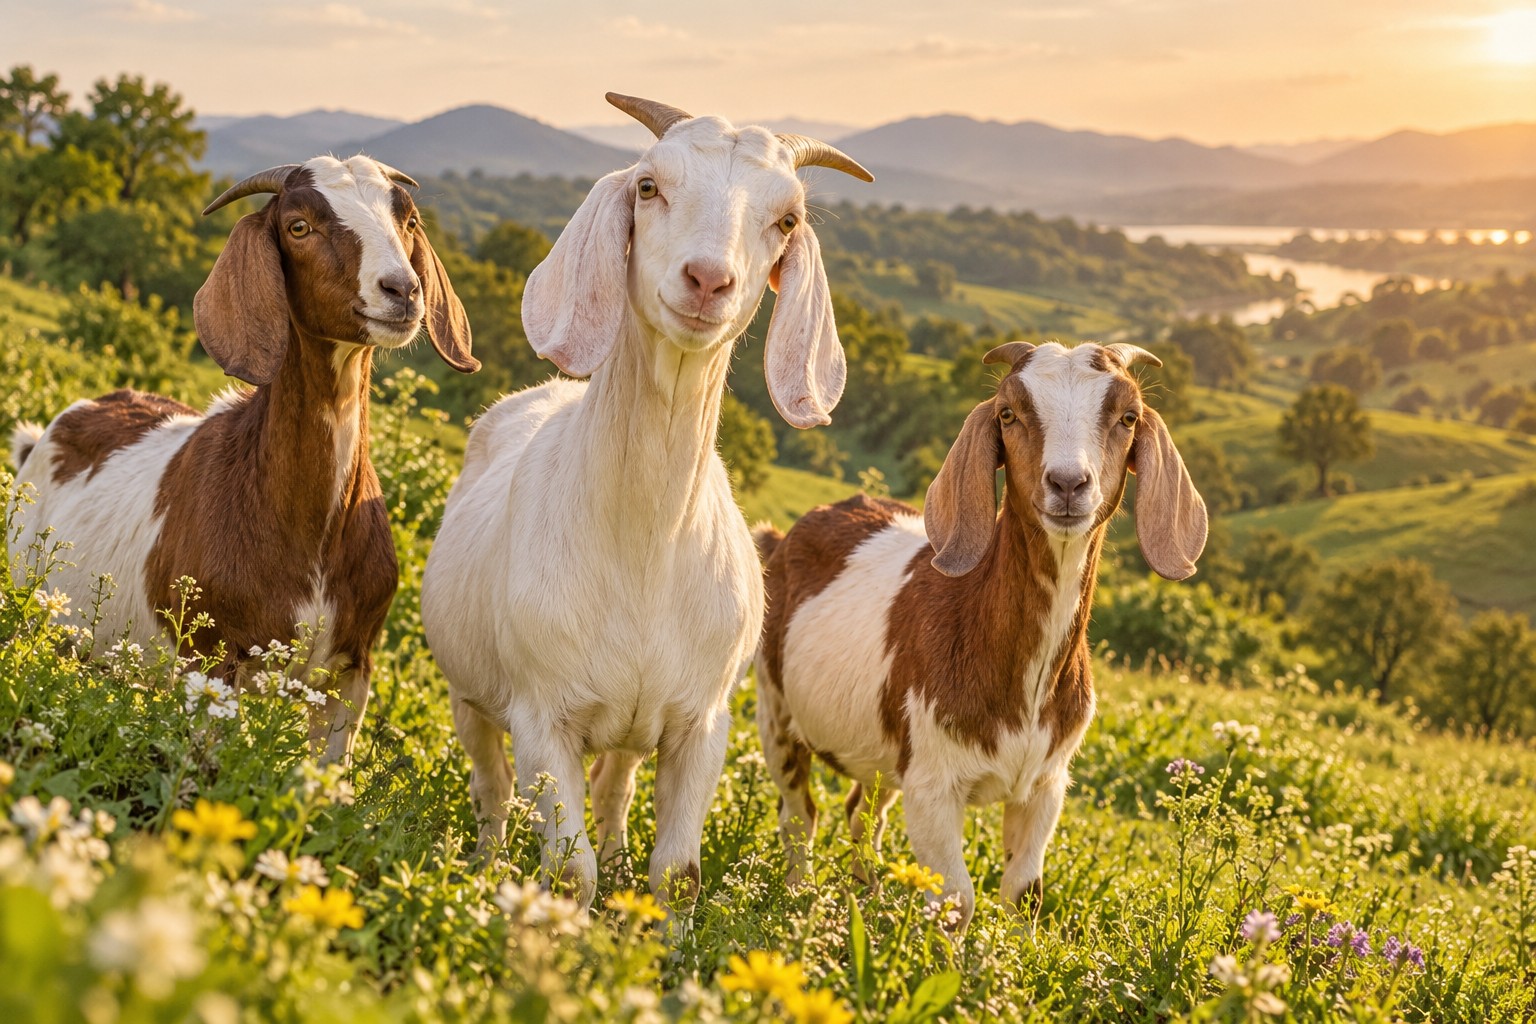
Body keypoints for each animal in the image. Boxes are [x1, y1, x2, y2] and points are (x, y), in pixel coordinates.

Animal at [9, 155, 477, 764]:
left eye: (410, 221)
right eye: (298, 226)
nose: (402, 289)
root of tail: (50, 430)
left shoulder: (352, 668)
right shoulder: (212, 660)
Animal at [420, 93, 872, 911]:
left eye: (787, 219)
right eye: (648, 187)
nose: (707, 281)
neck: (644, 542)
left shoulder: (702, 723)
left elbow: (680, 875)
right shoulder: (543, 717)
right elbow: (568, 871)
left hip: (633, 729)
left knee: (614, 792)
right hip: (469, 692)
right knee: (492, 789)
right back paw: (485, 863)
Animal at [752, 340, 1207, 932]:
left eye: (1128, 417)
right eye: (1008, 414)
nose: (1067, 484)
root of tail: (784, 536)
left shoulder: (1046, 785)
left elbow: (1024, 891)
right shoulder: (932, 783)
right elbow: (956, 899)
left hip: (879, 748)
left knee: (862, 810)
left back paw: (864, 892)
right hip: (774, 705)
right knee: (798, 814)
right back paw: (799, 896)